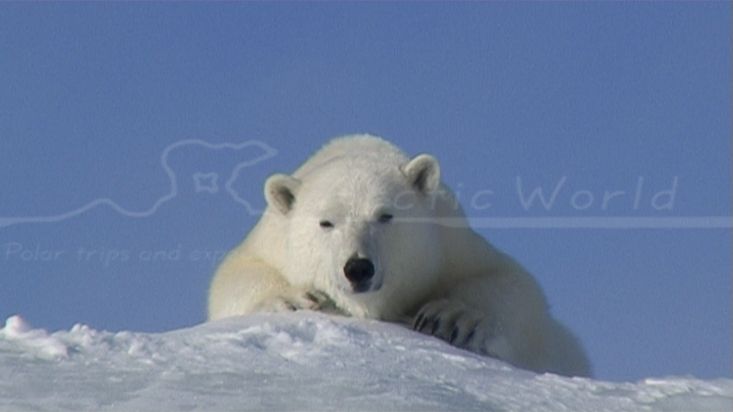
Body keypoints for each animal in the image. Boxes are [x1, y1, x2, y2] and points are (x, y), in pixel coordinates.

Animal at [207, 134, 588, 376]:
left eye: (385, 215)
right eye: (326, 222)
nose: (358, 268)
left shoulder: (448, 244)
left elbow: (515, 284)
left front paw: (451, 317)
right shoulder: (271, 241)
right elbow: (231, 276)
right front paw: (294, 299)